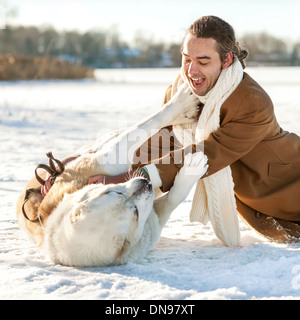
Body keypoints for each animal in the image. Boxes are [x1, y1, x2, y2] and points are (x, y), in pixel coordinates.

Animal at [16, 85, 209, 268]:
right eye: (135, 213)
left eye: (112, 192)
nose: (145, 183)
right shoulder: (153, 219)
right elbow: (174, 197)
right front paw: (193, 168)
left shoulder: (108, 158)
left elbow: (151, 121)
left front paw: (182, 102)